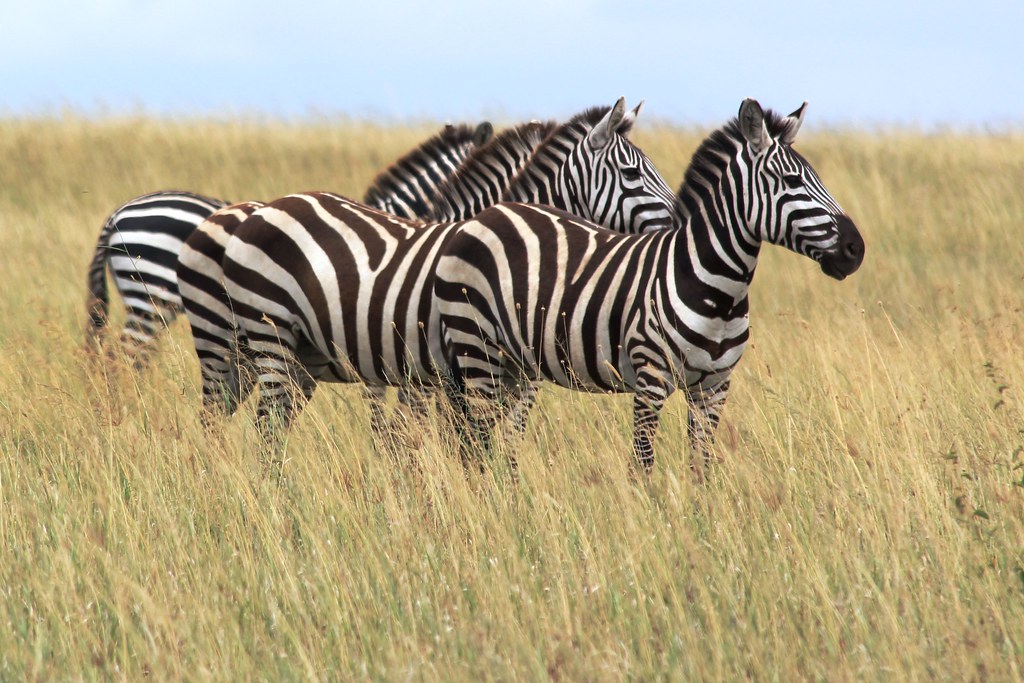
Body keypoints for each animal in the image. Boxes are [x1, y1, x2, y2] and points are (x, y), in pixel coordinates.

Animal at [184, 98, 680, 442]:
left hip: (270, 356)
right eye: (632, 175)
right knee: (231, 423)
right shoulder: (447, 376)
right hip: (248, 343)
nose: (682, 221)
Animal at [434, 99, 865, 476]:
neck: (719, 295)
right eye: (792, 181)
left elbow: (700, 469)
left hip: (513, 363)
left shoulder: (714, 389)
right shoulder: (651, 380)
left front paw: (700, 519)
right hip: (477, 351)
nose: (855, 249)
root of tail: (490, 213)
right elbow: (641, 467)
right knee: (475, 443)